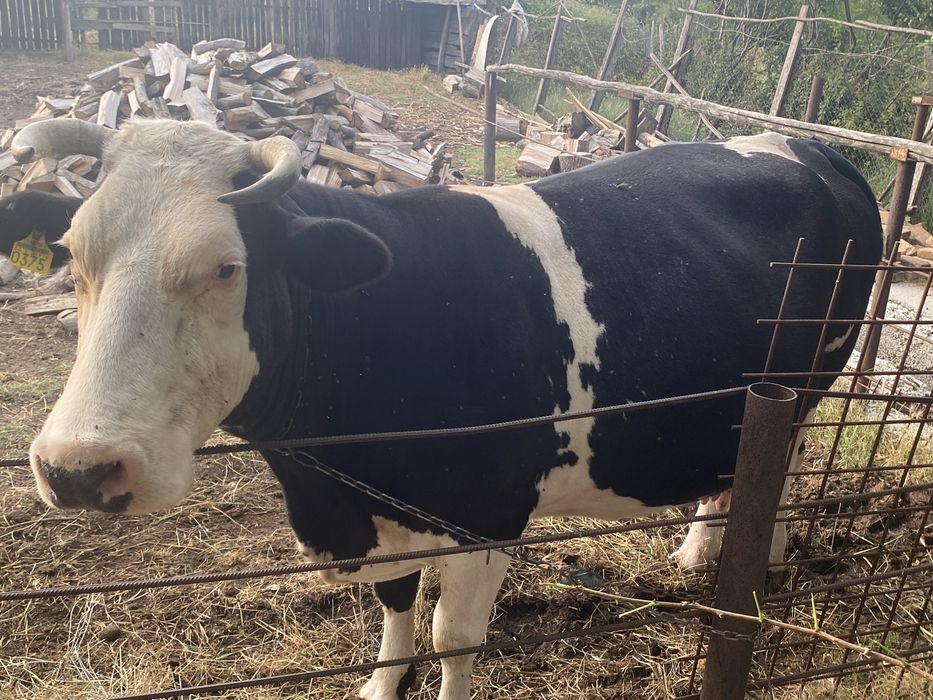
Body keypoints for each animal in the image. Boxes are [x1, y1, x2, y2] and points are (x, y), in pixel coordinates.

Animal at [8, 118, 880, 700]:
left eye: (226, 267)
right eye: (71, 256)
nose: (77, 469)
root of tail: (809, 146)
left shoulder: (489, 515)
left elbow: (453, 638)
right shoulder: (376, 515)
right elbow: (396, 607)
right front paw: (377, 686)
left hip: (808, 381)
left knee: (783, 456)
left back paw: (760, 559)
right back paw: (701, 552)